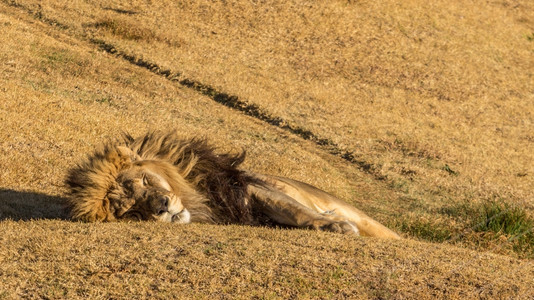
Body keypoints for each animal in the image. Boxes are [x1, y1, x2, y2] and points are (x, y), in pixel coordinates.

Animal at [65, 131, 402, 239]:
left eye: (146, 180)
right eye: (133, 212)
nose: (162, 207)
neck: (198, 199)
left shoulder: (247, 190)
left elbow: (293, 210)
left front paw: (334, 225)